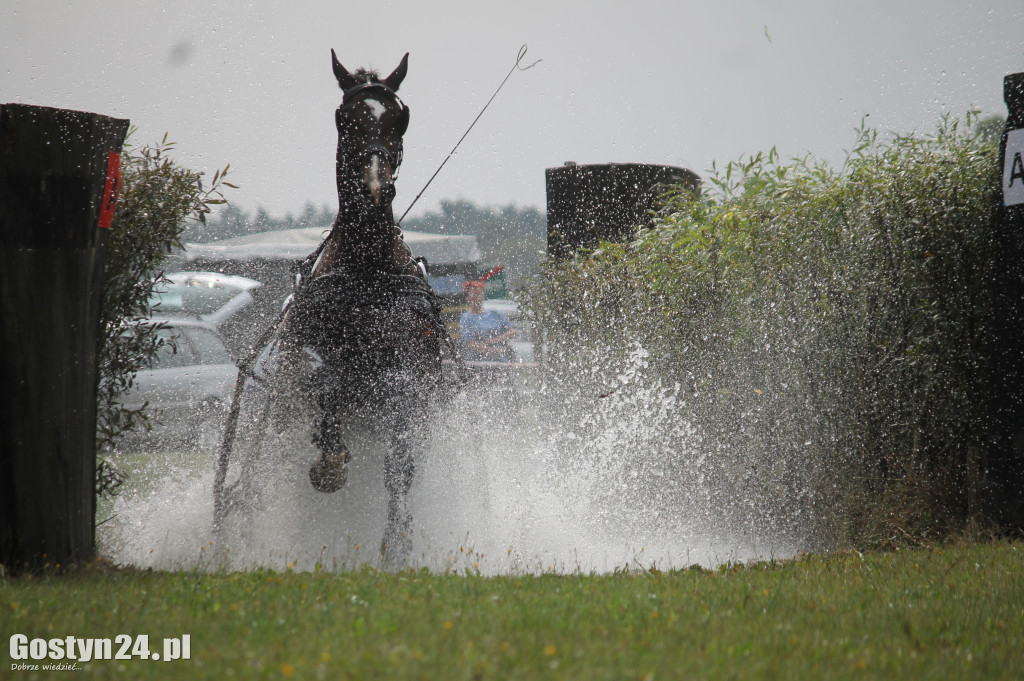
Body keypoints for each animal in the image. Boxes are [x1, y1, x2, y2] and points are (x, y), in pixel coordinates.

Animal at [214, 50, 454, 565]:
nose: (375, 182)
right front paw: (330, 463)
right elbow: (323, 384)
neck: (366, 275)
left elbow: (399, 461)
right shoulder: (301, 366)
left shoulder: (414, 379)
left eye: (400, 117)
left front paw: (398, 544)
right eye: (344, 117)